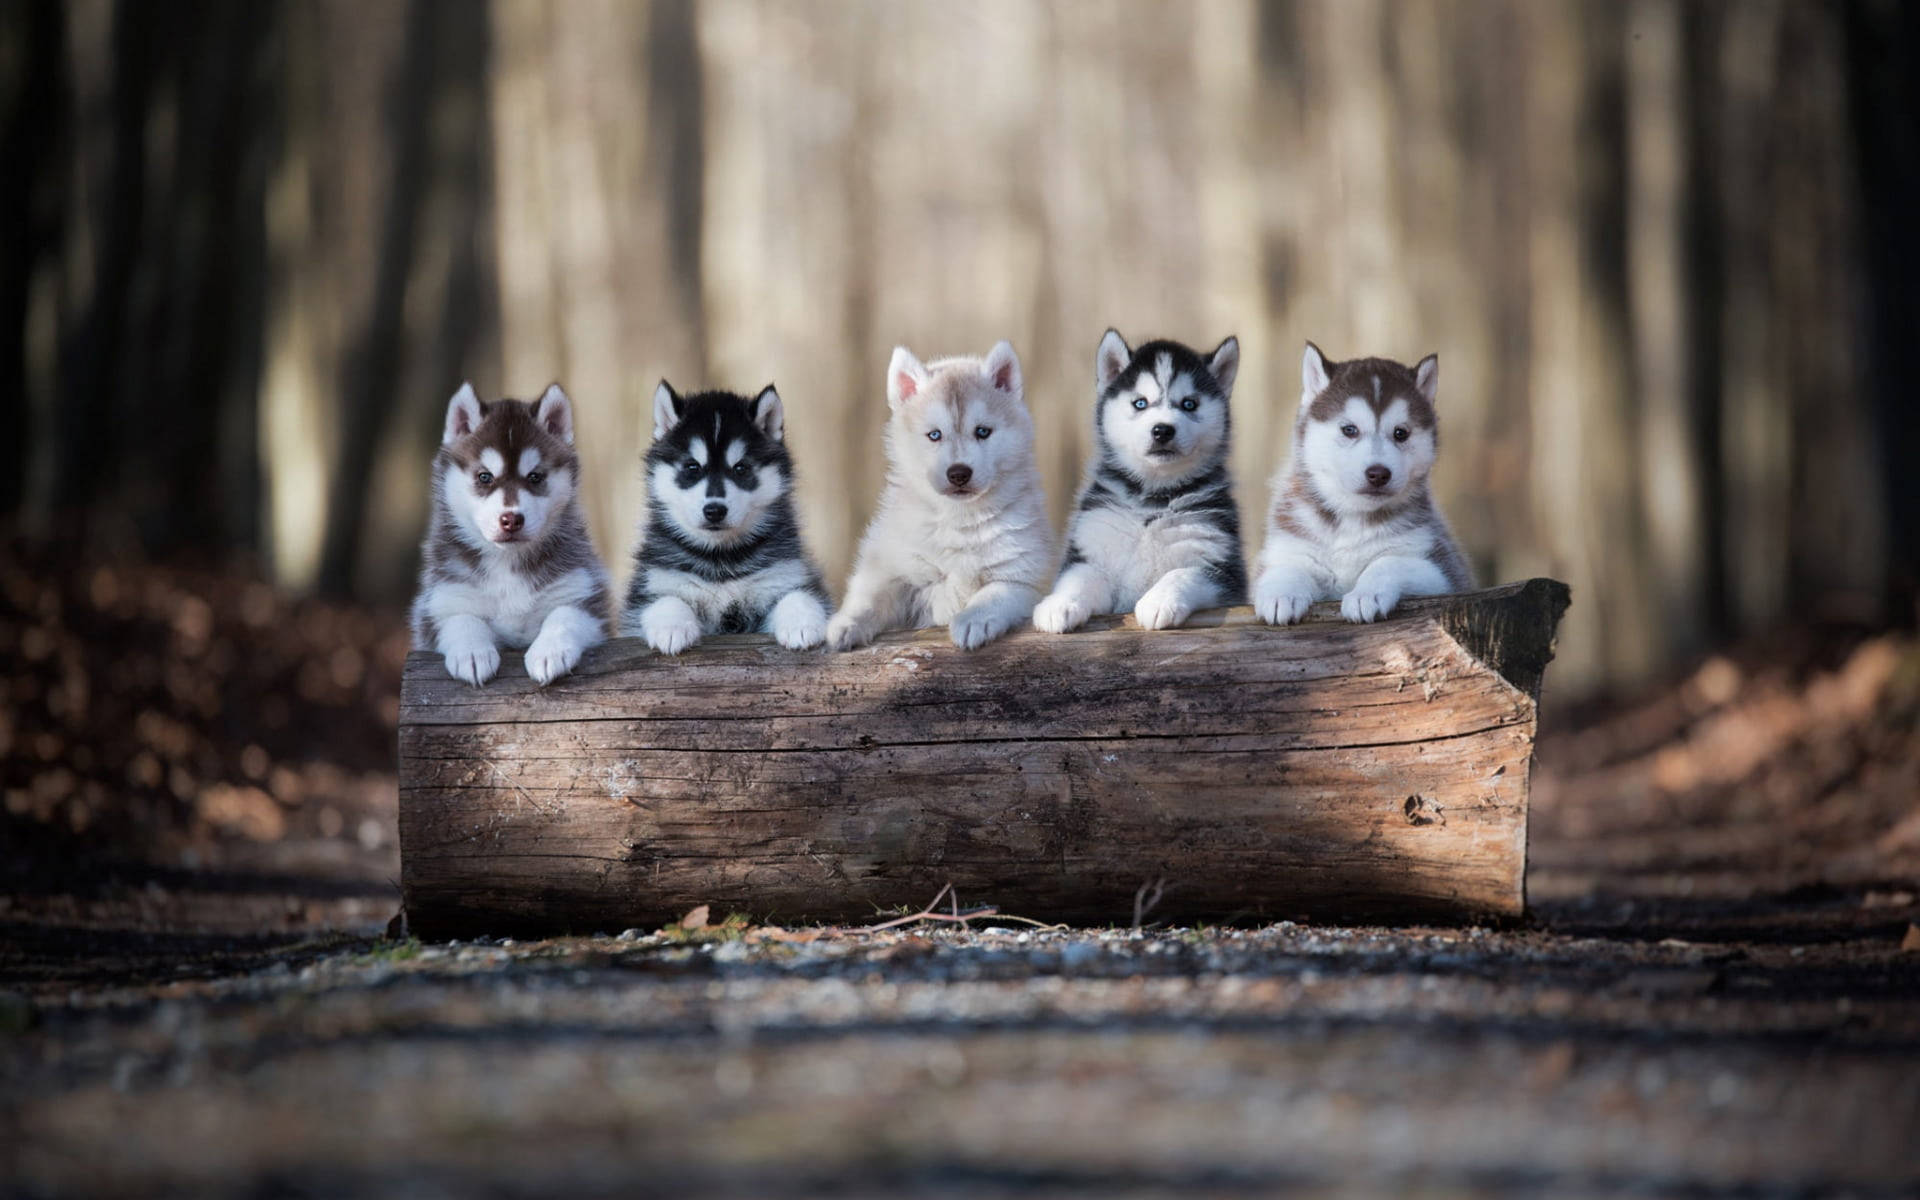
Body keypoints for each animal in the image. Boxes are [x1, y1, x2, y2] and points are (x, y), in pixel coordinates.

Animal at [410, 382, 606, 683]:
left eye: (535, 477)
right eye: (484, 477)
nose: (511, 519)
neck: (507, 561)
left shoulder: (581, 591)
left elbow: (564, 615)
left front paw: (549, 651)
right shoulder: (442, 600)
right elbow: (461, 619)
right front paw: (472, 654)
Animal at [614, 378, 825, 648]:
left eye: (741, 468)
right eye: (692, 467)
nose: (714, 510)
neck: (720, 559)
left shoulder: (783, 575)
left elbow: (798, 595)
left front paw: (802, 623)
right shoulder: (654, 583)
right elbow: (665, 599)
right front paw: (671, 627)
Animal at [1036, 322, 1244, 633]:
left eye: (1189, 404)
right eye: (1140, 403)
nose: (1163, 430)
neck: (1153, 499)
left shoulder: (1220, 565)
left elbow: (1183, 572)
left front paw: (1159, 601)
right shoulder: (1092, 548)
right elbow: (1078, 578)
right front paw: (1060, 604)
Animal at [1251, 341, 1474, 622]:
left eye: (1401, 433)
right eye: (1349, 430)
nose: (1378, 473)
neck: (1353, 518)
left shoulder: (1443, 569)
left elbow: (1388, 562)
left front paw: (1366, 595)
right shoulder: (1288, 546)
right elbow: (1288, 567)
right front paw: (1282, 594)